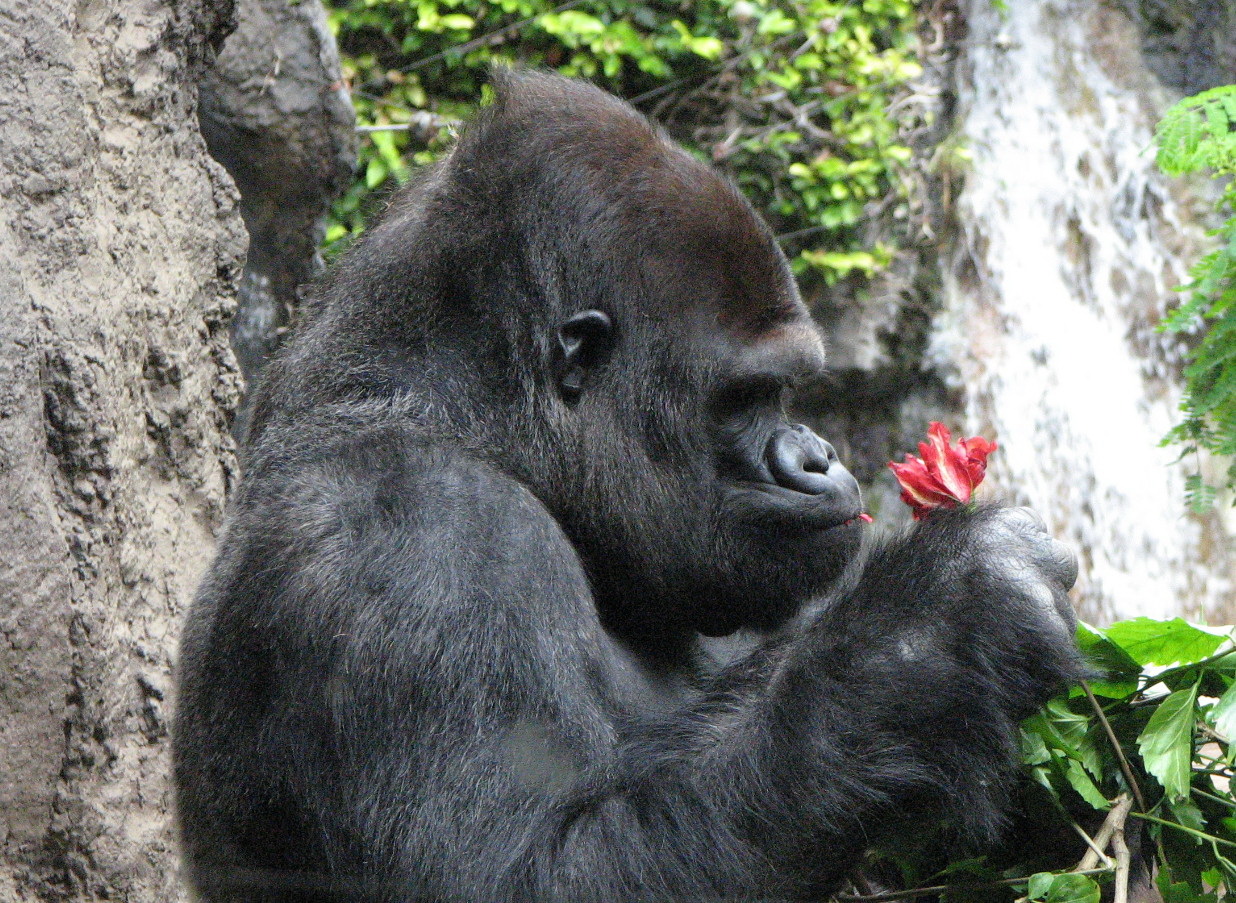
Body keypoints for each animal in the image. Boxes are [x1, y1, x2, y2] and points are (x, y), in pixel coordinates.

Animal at [174, 70, 1082, 903]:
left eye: (785, 391)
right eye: (748, 397)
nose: (818, 456)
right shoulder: (414, 533)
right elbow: (523, 874)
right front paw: (944, 616)